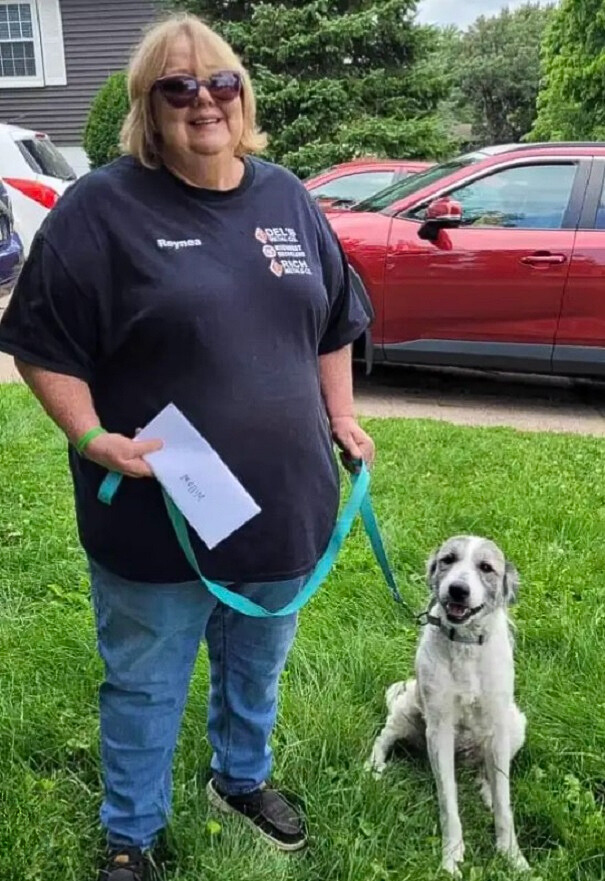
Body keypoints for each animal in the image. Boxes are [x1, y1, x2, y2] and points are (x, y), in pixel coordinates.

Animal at [366, 536, 528, 872]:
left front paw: (513, 856)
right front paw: (451, 855)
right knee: (384, 736)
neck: (465, 643)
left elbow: (505, 805)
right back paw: (373, 766)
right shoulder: (439, 731)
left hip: (516, 722)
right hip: (407, 708)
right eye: (448, 560)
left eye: (486, 567)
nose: (457, 589)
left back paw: (486, 789)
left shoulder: (498, 726)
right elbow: (448, 802)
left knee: (489, 771)